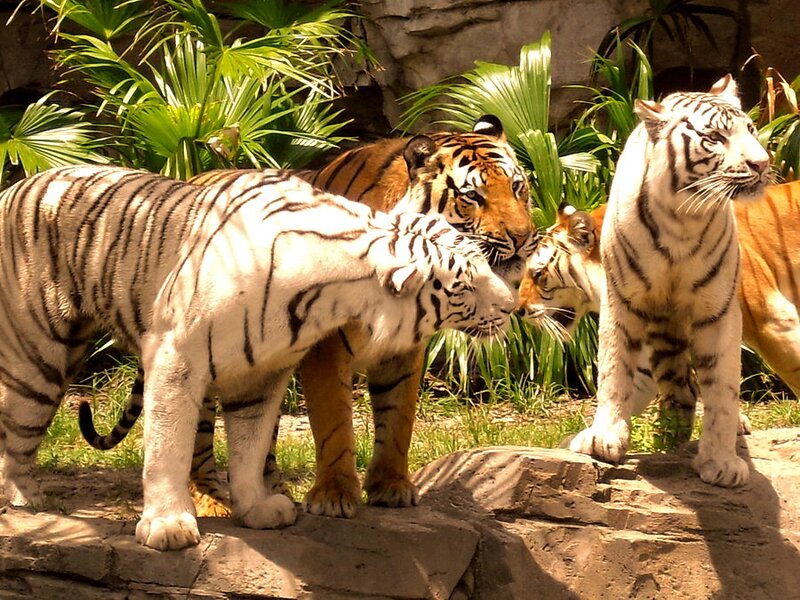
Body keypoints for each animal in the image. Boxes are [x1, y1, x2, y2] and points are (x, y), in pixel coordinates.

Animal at [0, 164, 515, 551]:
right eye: (465, 285)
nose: (513, 306)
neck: (331, 295)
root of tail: (15, 187)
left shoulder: (263, 374)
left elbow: (249, 447)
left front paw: (257, 507)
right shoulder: (174, 357)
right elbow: (167, 448)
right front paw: (168, 526)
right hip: (37, 355)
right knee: (18, 433)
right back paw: (28, 499)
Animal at [80, 114, 536, 519]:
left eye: (519, 187)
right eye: (472, 196)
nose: (523, 237)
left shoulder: (404, 352)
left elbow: (398, 418)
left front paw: (391, 486)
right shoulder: (325, 347)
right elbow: (335, 423)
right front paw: (335, 495)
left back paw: (272, 492)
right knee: (198, 432)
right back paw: (211, 500)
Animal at [561, 75, 769, 488]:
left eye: (751, 130)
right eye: (715, 137)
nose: (762, 162)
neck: (683, 221)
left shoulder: (718, 309)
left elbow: (722, 387)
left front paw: (721, 461)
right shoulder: (621, 300)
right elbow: (614, 368)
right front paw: (604, 438)